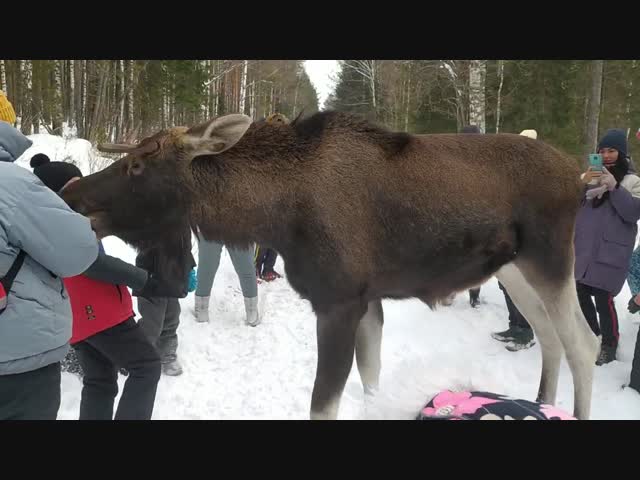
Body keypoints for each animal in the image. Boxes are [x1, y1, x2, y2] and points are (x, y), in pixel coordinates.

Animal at [61, 111, 600, 420]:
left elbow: (324, 402)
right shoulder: (367, 301)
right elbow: (372, 378)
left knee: (583, 342)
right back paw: (543, 403)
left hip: (552, 257)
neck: (275, 213)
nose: (71, 193)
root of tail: (578, 177)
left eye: (137, 165)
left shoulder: (338, 300)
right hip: (513, 268)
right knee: (549, 335)